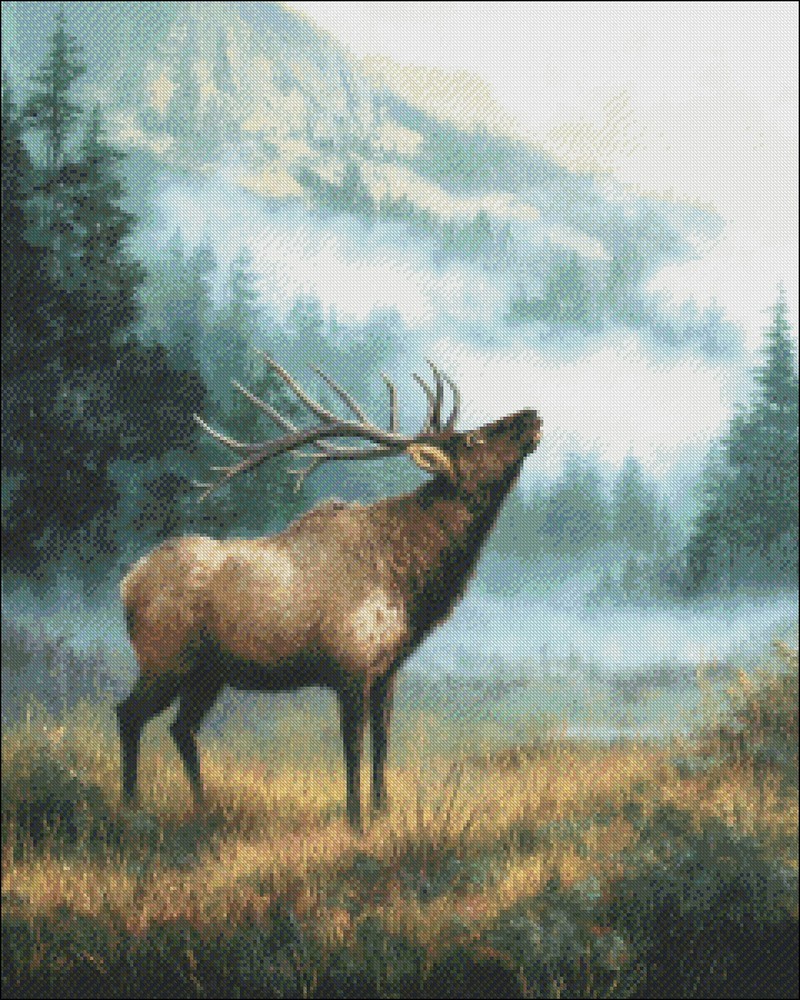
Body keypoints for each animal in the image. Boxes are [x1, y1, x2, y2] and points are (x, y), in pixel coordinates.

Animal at [117, 356, 542, 828]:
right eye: (473, 438)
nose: (532, 415)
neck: (409, 584)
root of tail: (126, 584)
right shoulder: (349, 665)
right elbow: (353, 748)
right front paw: (356, 821)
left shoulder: (387, 671)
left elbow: (381, 744)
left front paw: (382, 811)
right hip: (165, 659)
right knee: (129, 714)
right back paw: (131, 804)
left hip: (207, 673)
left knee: (181, 727)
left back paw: (202, 805)